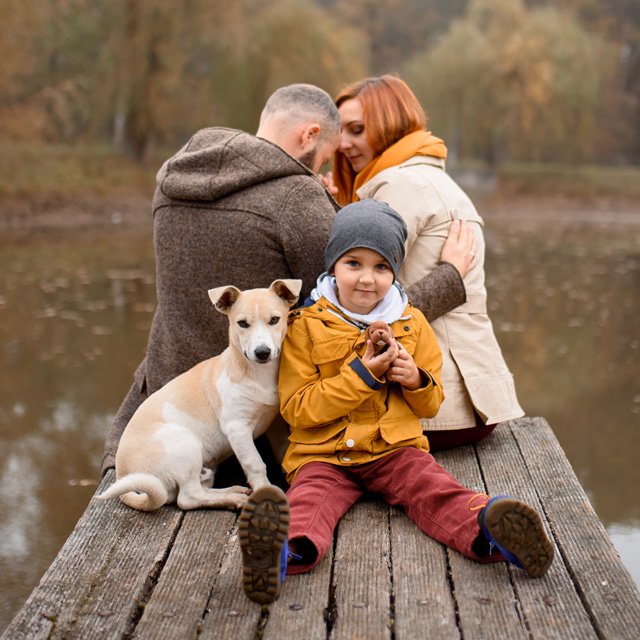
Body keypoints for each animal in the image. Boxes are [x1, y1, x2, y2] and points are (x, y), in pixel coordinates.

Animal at [98, 279, 302, 512]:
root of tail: (122, 474)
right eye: (242, 324)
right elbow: (255, 464)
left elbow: (283, 449)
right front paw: (264, 492)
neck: (257, 373)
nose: (262, 353)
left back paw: (232, 492)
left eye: (274, 320)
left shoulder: (274, 420)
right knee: (188, 498)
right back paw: (234, 498)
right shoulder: (237, 428)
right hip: (185, 444)